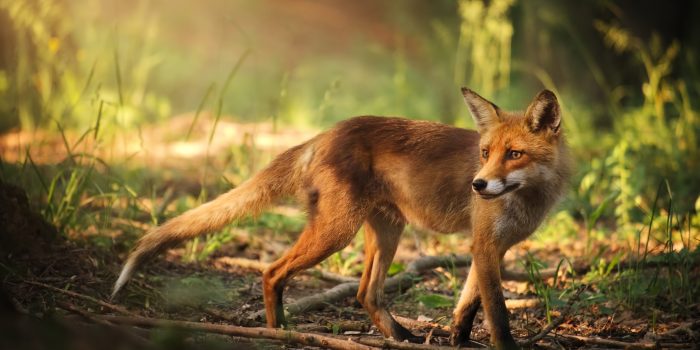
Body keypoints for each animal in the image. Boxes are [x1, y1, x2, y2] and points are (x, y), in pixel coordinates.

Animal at [112, 87, 572, 348]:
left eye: (514, 154)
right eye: (485, 153)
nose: (478, 185)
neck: (528, 198)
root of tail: (324, 133)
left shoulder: (489, 247)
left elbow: (467, 307)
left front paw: (458, 342)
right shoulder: (484, 244)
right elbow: (497, 312)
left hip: (386, 232)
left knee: (365, 293)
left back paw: (398, 338)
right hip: (337, 233)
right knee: (271, 272)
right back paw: (279, 333)